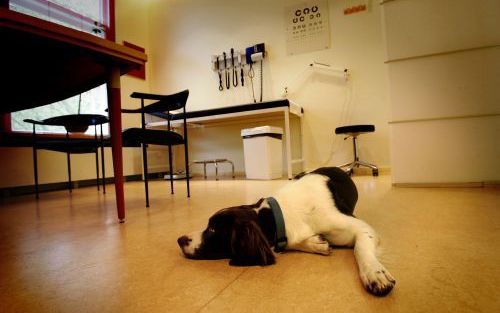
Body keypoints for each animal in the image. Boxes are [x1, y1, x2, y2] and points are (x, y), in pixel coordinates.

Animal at [178, 166, 396, 294]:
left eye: (212, 230)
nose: (179, 239)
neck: (280, 213)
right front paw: (316, 243)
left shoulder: (360, 227)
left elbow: (361, 248)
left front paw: (374, 273)